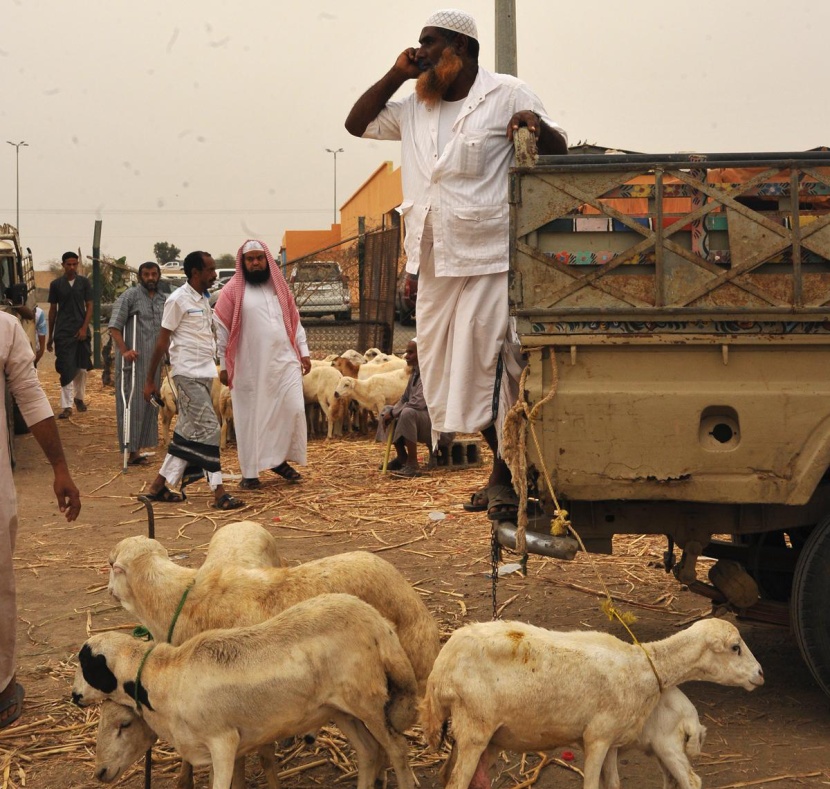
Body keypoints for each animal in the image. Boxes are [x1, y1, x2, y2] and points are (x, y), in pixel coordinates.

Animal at [75, 596, 420, 788]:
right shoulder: (236, 745)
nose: (74, 697)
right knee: (369, 751)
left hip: (368, 702)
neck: (163, 676)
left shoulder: (223, 742)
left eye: (123, 725)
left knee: (397, 749)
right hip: (340, 708)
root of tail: (379, 624)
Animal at [422, 620, 768, 784]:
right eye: (735, 647)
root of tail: (439, 672)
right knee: (456, 783)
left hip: (485, 737)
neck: (644, 667)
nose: (760, 674)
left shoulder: (612, 741)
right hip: (474, 728)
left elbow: (613, 785)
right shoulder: (597, 738)